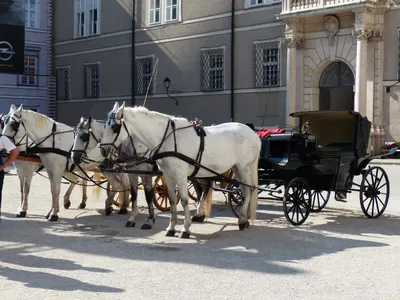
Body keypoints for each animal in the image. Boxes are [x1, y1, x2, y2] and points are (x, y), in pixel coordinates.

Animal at [100, 102, 260, 238]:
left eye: (114, 127)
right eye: (105, 125)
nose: (103, 150)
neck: (168, 139)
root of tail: (253, 133)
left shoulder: (180, 175)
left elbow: (183, 200)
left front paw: (185, 229)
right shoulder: (168, 175)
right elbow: (171, 200)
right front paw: (171, 227)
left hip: (244, 168)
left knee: (249, 190)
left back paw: (242, 220)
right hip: (236, 168)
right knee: (242, 190)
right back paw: (243, 218)